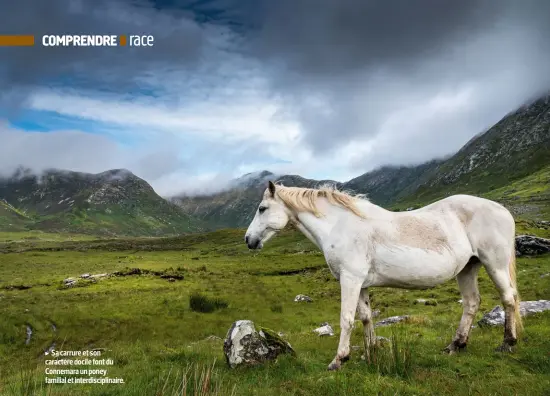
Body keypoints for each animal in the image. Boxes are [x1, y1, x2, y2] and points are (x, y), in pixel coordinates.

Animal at [245, 181, 520, 370]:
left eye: (262, 208)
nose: (249, 240)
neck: (339, 226)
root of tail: (502, 210)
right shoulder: (361, 284)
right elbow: (366, 317)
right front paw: (369, 354)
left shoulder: (350, 279)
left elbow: (347, 319)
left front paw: (338, 360)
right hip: (467, 268)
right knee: (472, 303)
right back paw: (456, 345)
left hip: (494, 264)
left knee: (508, 298)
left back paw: (507, 343)